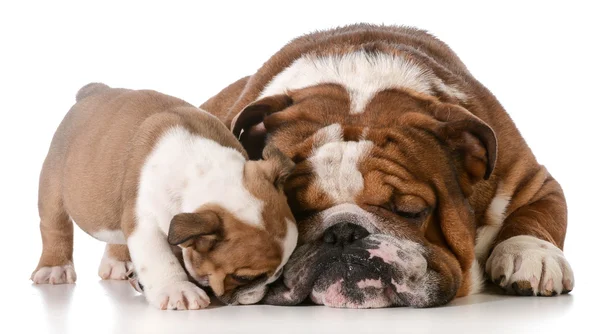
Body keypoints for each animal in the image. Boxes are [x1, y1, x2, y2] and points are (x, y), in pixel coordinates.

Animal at [30, 83, 298, 310]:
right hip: (52, 182)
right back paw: (54, 268)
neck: (205, 171)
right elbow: (159, 258)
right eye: (242, 277)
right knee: (55, 226)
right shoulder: (143, 221)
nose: (263, 291)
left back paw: (117, 263)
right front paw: (177, 289)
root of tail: (92, 92)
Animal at [203, 24, 576, 310]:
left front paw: (532, 255)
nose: (343, 233)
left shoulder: (531, 180)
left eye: (409, 211)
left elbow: (537, 214)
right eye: (294, 211)